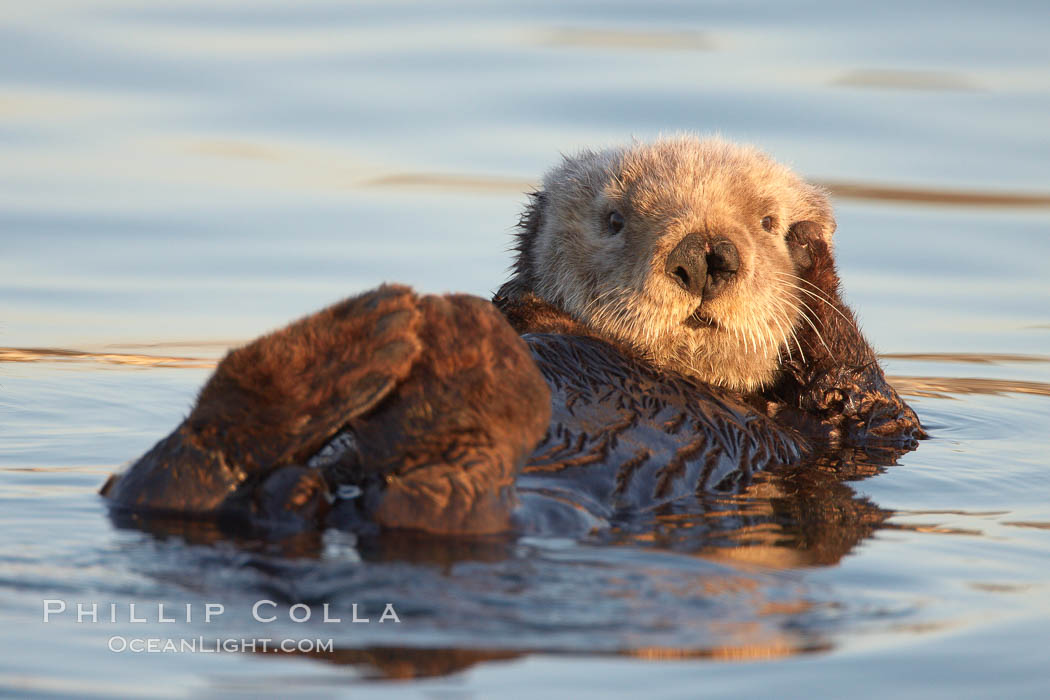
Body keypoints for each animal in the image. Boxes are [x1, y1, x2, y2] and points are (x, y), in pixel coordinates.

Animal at [98, 139, 919, 541]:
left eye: (768, 222)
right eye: (615, 219)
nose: (707, 255)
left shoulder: (858, 431)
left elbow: (868, 400)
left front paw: (814, 255)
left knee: (433, 509)